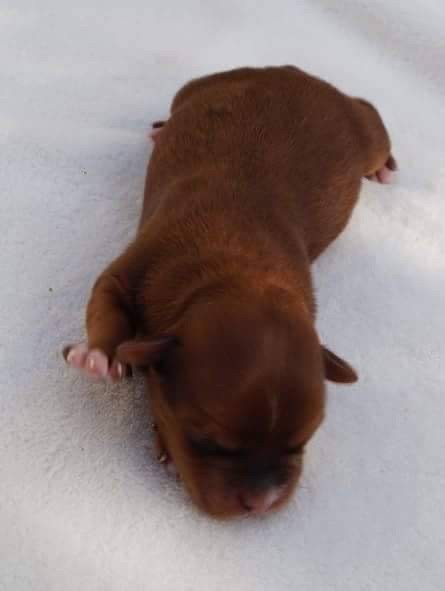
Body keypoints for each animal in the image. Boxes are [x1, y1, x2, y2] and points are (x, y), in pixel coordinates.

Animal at [63, 65, 396, 520]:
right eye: (207, 442)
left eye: (301, 443)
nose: (262, 504)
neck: (237, 269)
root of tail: (301, 74)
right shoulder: (136, 264)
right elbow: (106, 303)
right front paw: (98, 355)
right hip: (195, 89)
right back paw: (161, 128)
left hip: (365, 138)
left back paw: (385, 168)